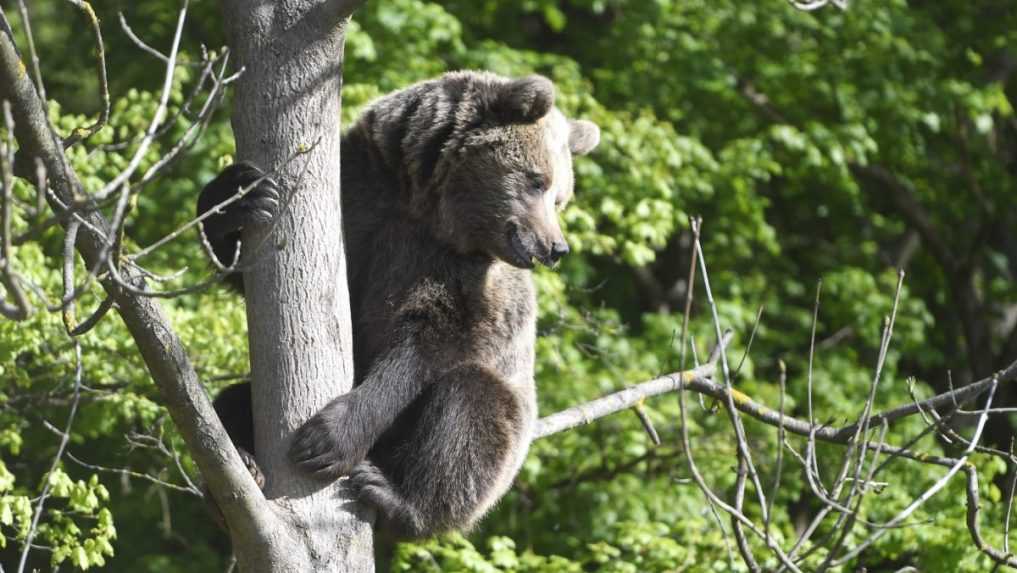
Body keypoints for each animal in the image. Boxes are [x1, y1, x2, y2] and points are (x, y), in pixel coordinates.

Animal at [195, 70, 597, 537]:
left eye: (559, 197)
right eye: (538, 181)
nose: (555, 247)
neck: (424, 204)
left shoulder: (455, 273)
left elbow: (428, 342)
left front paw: (327, 438)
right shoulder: (358, 201)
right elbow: (243, 266)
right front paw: (242, 196)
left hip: (505, 440)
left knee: (471, 409)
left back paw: (396, 497)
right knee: (233, 401)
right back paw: (242, 465)